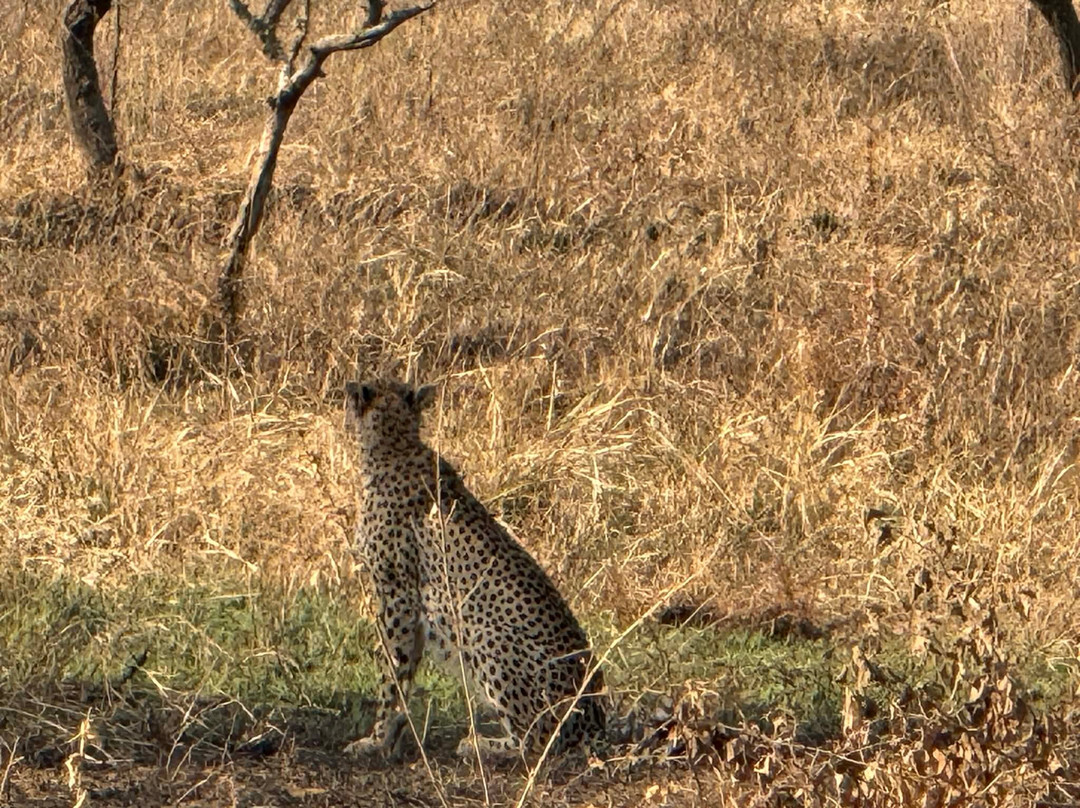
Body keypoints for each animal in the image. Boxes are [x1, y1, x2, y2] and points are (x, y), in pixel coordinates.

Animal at [342, 379, 605, 762]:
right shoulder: (415, 608)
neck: (396, 444)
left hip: (482, 632)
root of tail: (598, 717)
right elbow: (406, 670)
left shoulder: (398, 595)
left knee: (536, 741)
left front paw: (375, 738)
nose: (345, 393)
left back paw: (480, 744)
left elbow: (391, 669)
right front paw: (394, 735)